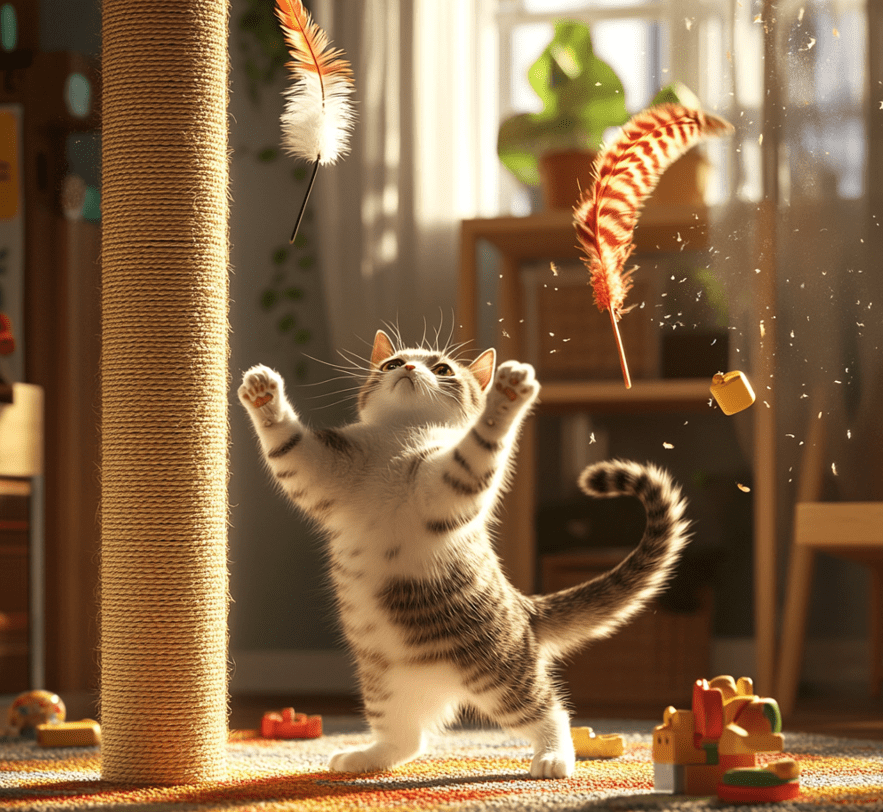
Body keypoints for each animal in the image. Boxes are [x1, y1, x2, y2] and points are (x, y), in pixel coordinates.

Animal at [240, 330, 692, 780]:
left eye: (442, 368)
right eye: (391, 363)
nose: (408, 367)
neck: (401, 434)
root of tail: (525, 607)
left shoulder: (449, 487)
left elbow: (477, 449)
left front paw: (506, 397)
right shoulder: (321, 472)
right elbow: (290, 451)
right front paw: (263, 396)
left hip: (502, 675)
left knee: (551, 713)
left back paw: (554, 757)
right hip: (384, 689)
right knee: (408, 741)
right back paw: (364, 757)